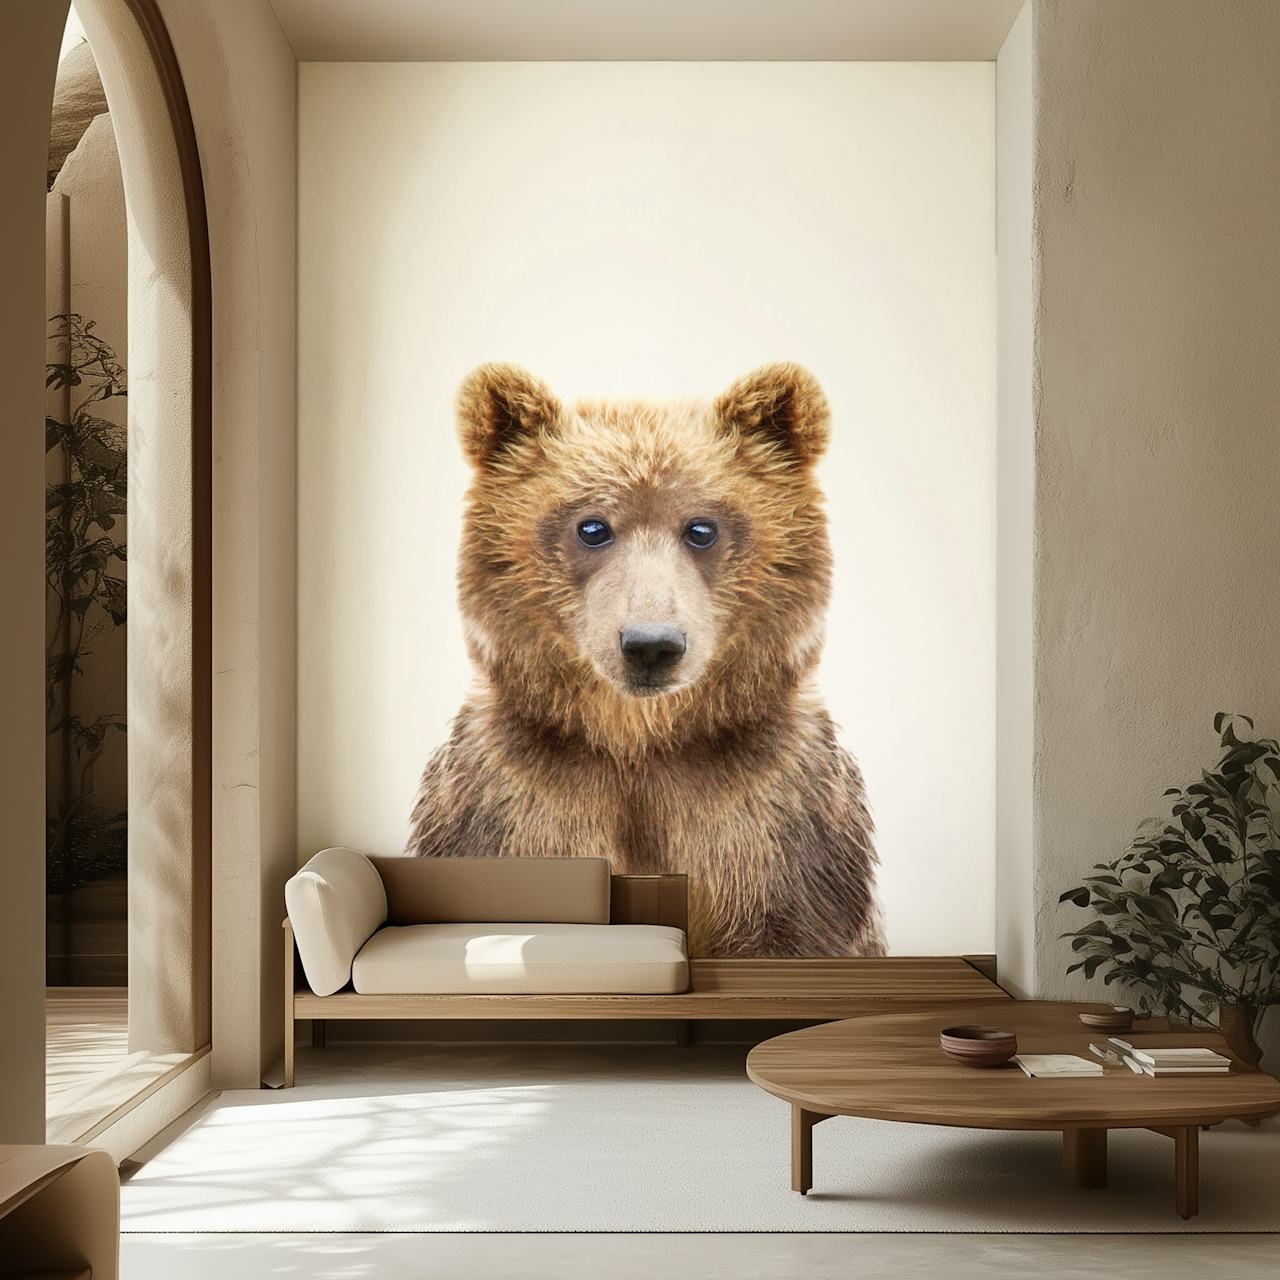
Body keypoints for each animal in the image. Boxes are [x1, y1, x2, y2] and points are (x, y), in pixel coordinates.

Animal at [406, 363, 884, 958]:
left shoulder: (775, 818)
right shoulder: (511, 801)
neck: (640, 744)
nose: (650, 644)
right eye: (592, 526)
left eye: (702, 527)